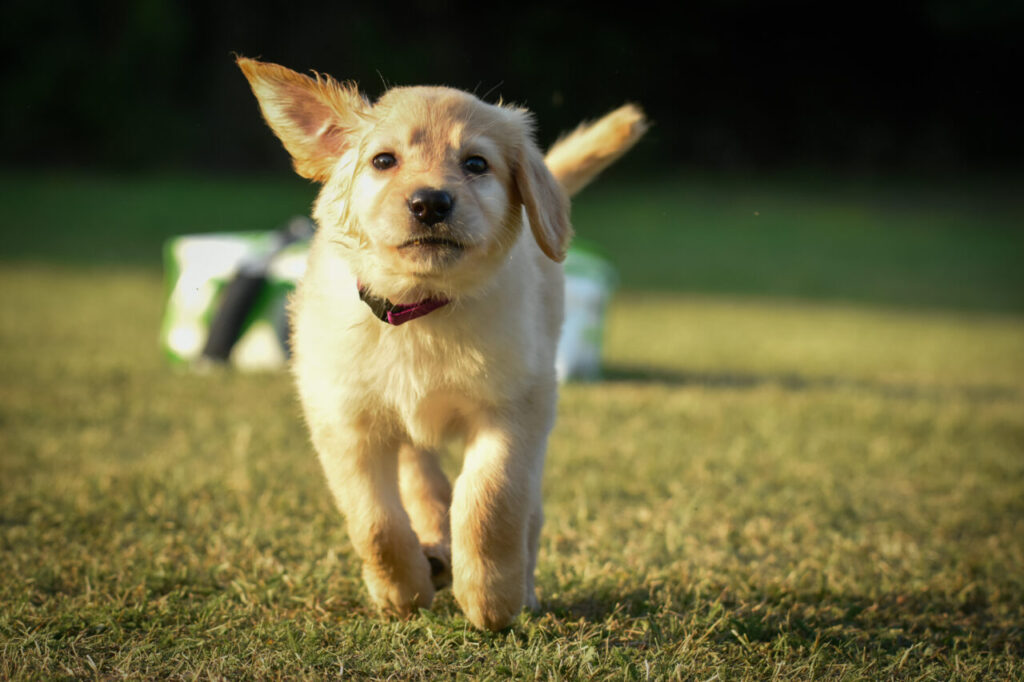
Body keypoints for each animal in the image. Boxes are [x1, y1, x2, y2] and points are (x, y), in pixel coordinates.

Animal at [235, 57, 643, 626]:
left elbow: (490, 501)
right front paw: (402, 591)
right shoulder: (345, 424)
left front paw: (491, 598)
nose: (430, 202)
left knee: (526, 512)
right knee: (419, 472)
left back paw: (517, 583)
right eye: (384, 160)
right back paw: (431, 546)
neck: (419, 310)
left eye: (475, 164)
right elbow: (375, 521)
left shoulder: (514, 409)